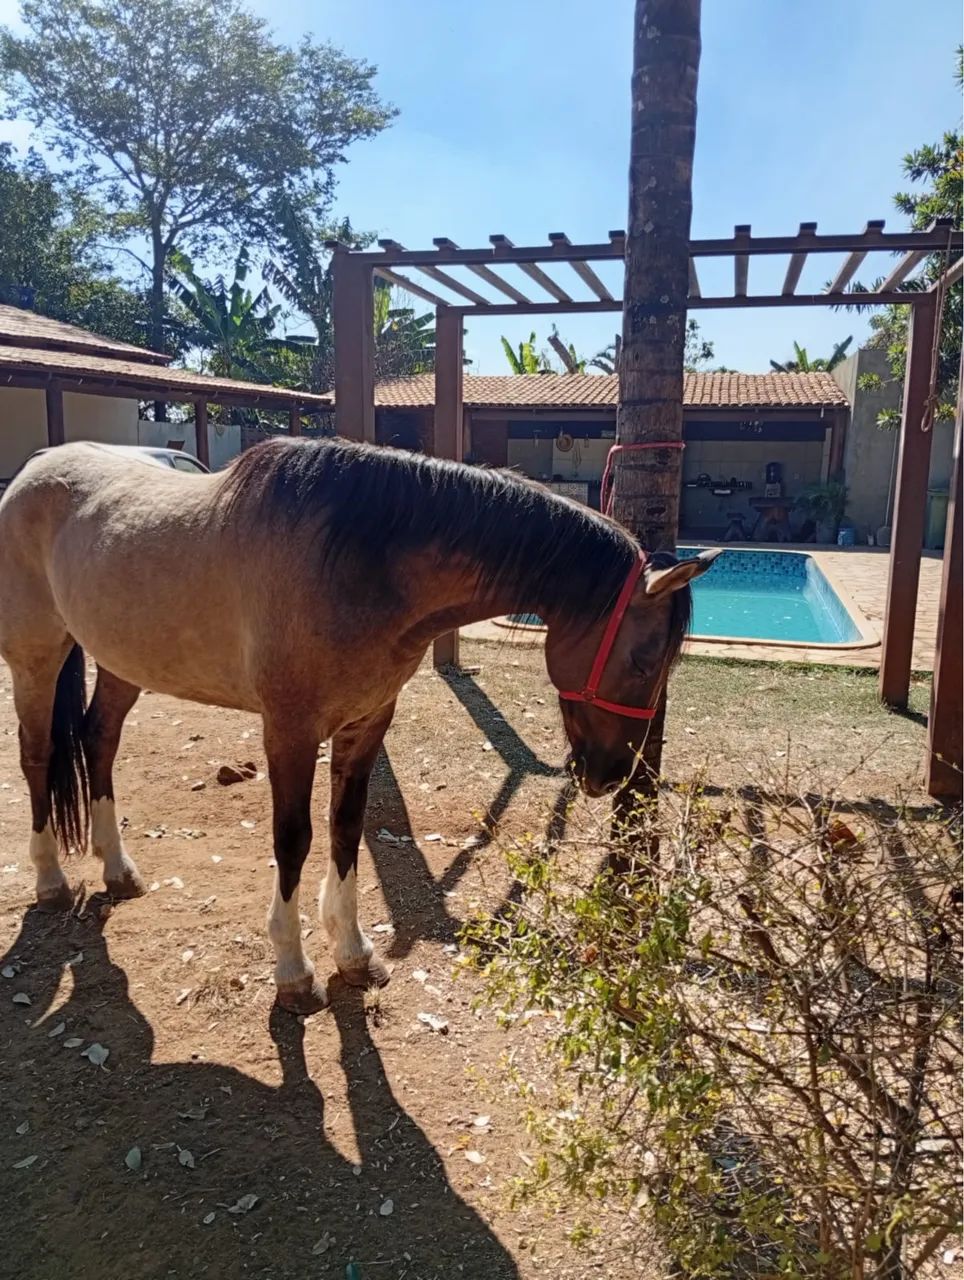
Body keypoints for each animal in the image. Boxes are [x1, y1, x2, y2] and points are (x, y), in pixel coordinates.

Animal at [0, 438, 718, 1016]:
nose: (611, 774)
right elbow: (294, 840)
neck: (357, 560)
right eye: (645, 659)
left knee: (99, 741)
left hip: (122, 663)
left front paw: (352, 952)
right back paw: (50, 879)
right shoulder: (289, 732)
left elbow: (346, 829)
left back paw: (117, 869)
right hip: (36, 656)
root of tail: (35, 468)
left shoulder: (367, 724)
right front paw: (293, 972)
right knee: (38, 754)